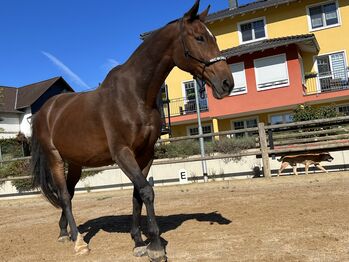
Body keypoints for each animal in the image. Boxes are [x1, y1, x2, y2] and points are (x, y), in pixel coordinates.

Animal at [31, 1, 234, 260]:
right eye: (199, 38)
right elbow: (146, 191)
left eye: (213, 37)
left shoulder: (145, 154)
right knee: (65, 196)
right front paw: (156, 246)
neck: (134, 95)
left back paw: (63, 232)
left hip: (76, 163)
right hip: (54, 157)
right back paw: (79, 242)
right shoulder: (122, 153)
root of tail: (45, 110)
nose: (227, 83)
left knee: (70, 192)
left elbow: (137, 194)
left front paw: (138, 241)